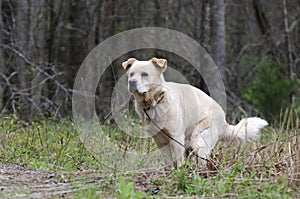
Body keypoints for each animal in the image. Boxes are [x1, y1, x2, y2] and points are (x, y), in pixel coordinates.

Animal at [122, 57, 270, 168]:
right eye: (131, 74)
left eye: (145, 74)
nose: (131, 82)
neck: (155, 102)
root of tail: (223, 120)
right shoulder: (160, 140)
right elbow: (168, 162)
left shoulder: (176, 137)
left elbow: (179, 161)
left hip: (198, 139)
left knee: (204, 159)